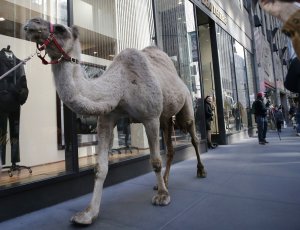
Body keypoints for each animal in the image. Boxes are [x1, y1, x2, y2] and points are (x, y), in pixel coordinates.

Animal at [24, 17, 206, 225]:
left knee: (192, 135)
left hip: (186, 105)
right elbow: (100, 168)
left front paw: (162, 197)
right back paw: (165, 182)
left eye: (61, 29)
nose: (31, 24)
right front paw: (88, 213)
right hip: (165, 117)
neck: (121, 85)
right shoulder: (107, 119)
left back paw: (200, 171)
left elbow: (155, 160)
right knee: (170, 147)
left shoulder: (150, 117)